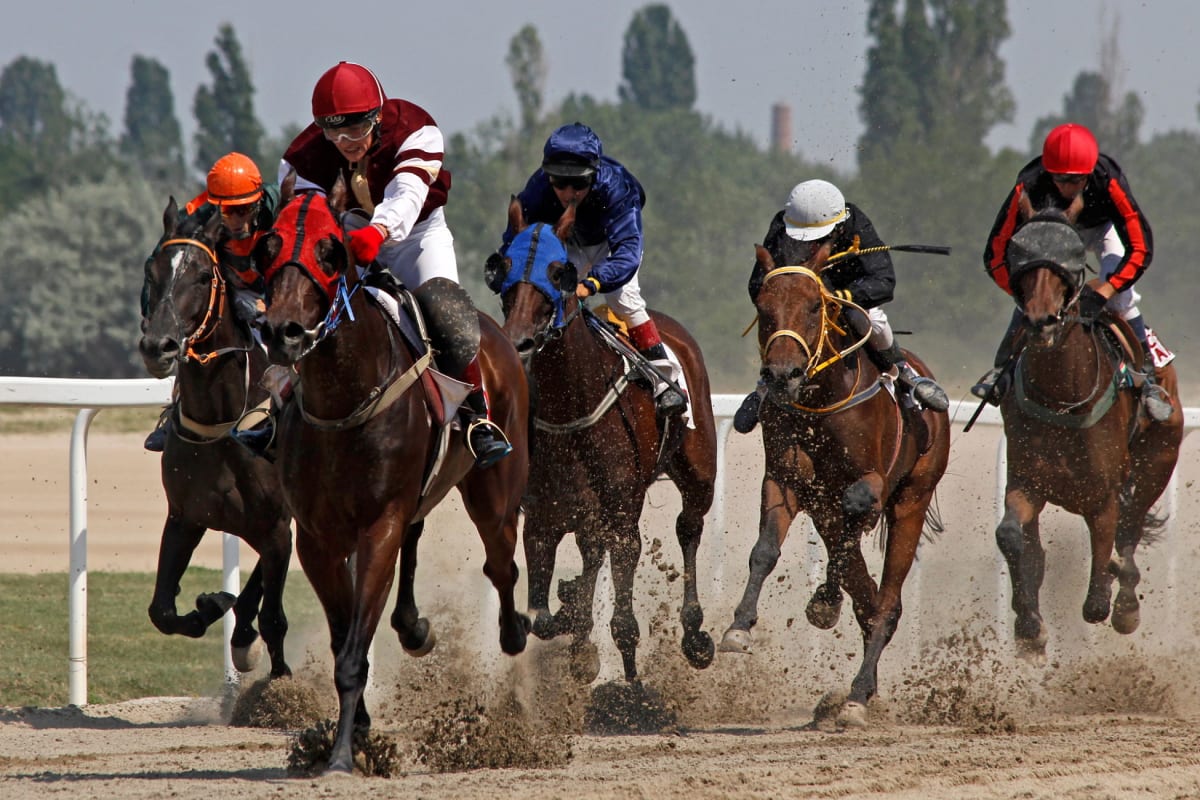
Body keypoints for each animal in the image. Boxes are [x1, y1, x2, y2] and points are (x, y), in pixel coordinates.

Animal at [136, 203, 292, 681]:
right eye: (151, 270)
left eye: (204, 275)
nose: (158, 346)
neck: (221, 424)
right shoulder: (185, 516)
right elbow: (162, 611)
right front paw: (213, 605)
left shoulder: (277, 525)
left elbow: (274, 618)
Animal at [262, 181, 530, 777]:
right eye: (269, 244)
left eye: (331, 251)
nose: (281, 330)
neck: (342, 404)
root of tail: (499, 336)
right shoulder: (318, 539)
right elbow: (344, 641)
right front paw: (355, 734)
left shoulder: (377, 524)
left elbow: (353, 653)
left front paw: (342, 756)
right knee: (419, 537)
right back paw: (413, 626)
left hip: (495, 491)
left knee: (501, 563)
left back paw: (513, 632)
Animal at [487, 199, 710, 681]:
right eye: (504, 266)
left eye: (559, 272)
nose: (520, 343)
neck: (572, 404)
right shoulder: (543, 514)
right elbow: (541, 616)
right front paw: (574, 622)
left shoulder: (623, 512)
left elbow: (623, 615)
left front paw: (628, 675)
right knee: (591, 551)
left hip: (699, 471)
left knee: (689, 527)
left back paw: (695, 632)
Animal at [715, 247, 950, 729]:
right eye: (763, 309)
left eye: (813, 307)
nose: (781, 374)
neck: (821, 399)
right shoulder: (786, 480)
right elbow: (764, 550)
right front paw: (739, 627)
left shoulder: (869, 482)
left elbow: (855, 512)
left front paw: (824, 601)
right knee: (868, 598)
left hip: (913, 498)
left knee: (887, 602)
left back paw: (857, 697)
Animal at [993, 212, 1180, 657]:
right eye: (1022, 262)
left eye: (1068, 267)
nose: (1040, 320)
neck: (1063, 397)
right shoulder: (1027, 482)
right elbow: (1012, 537)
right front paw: (1030, 626)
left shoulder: (1104, 494)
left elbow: (1098, 591)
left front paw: (1110, 591)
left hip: (1159, 459)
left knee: (1130, 532)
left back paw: (1126, 604)